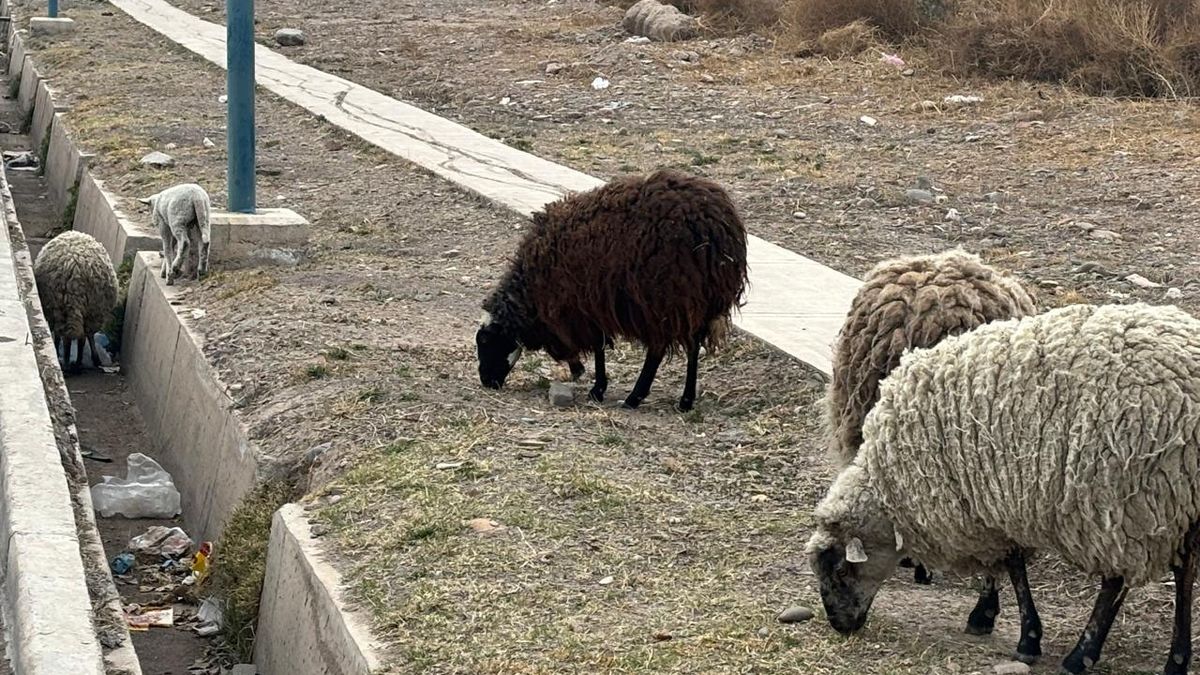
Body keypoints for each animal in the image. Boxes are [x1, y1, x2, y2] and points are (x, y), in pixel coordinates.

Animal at [33, 230, 119, 373]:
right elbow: (86, 337)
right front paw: (94, 358)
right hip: (89, 310)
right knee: (82, 336)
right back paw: (78, 363)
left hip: (60, 307)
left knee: (67, 335)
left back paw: (67, 362)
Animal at [476, 168, 748, 411]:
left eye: (485, 342)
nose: (486, 382)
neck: (531, 293)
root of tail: (716, 229)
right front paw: (583, 375)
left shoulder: (580, 305)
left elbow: (598, 346)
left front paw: (596, 387)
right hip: (694, 300)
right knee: (692, 345)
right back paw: (684, 401)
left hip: (666, 296)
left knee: (660, 348)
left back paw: (637, 398)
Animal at [806, 302, 1200, 675]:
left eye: (840, 571)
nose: (840, 625)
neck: (889, 486)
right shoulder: (984, 507)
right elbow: (1004, 566)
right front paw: (991, 615)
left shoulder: (983, 506)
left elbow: (1010, 566)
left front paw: (1020, 633)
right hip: (1175, 499)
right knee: (1184, 573)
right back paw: (1176, 660)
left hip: (1118, 499)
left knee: (1115, 581)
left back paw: (1082, 655)